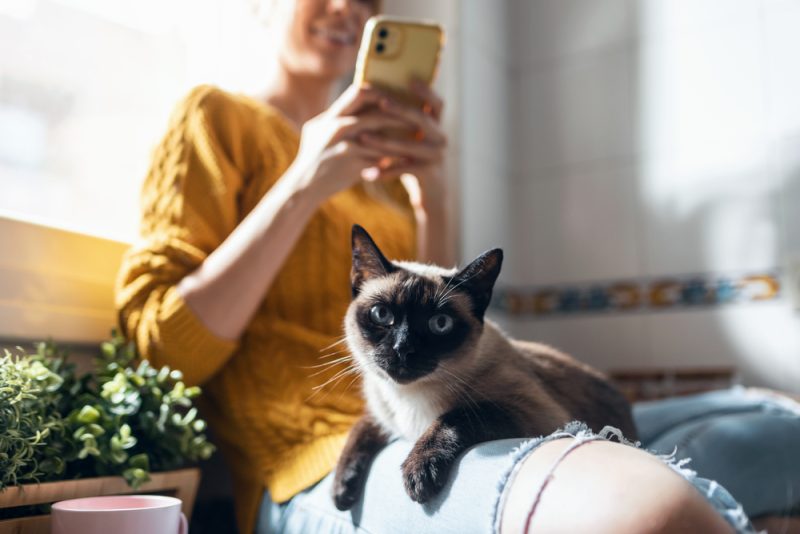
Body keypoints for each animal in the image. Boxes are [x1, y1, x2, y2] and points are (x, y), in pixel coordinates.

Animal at [332, 225, 636, 510]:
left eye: (440, 323)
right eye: (382, 315)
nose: (402, 349)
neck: (408, 402)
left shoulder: (537, 414)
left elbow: (456, 416)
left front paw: (419, 472)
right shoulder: (381, 416)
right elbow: (358, 430)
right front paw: (341, 492)